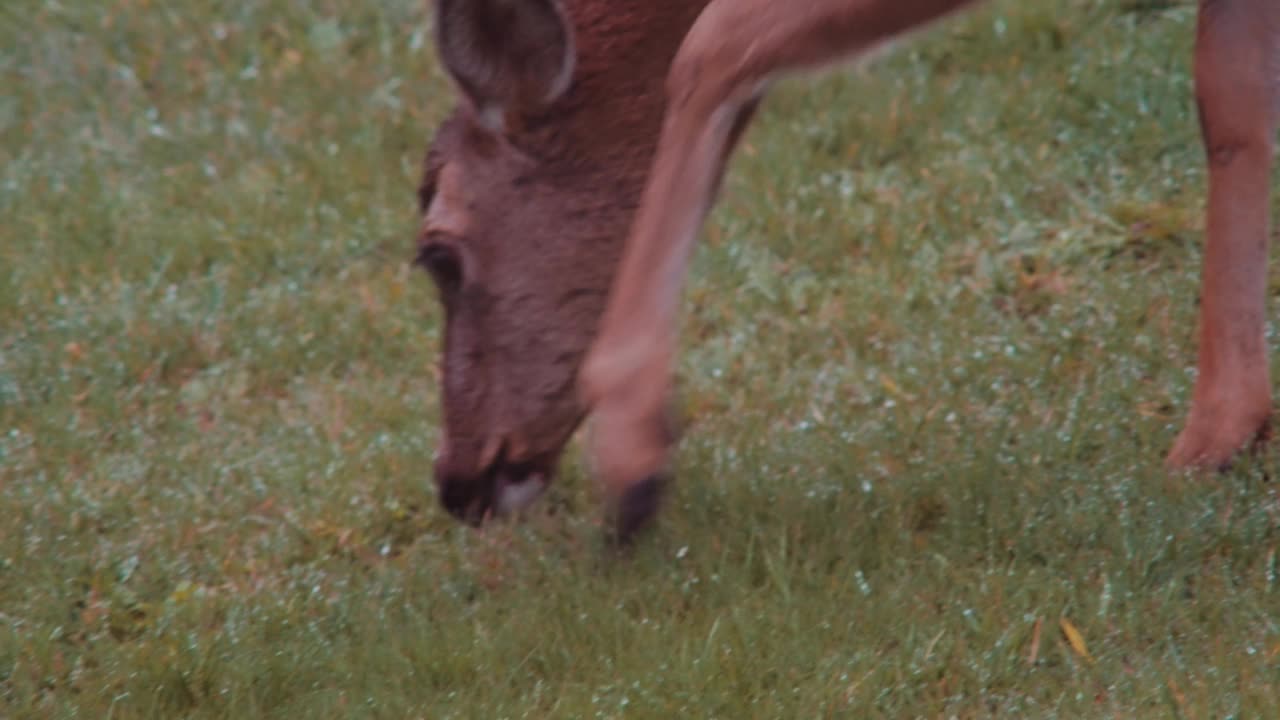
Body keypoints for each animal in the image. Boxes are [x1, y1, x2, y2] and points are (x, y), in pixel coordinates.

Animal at [422, 0, 1280, 538]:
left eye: (438, 255)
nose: (457, 482)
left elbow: (708, 47)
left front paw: (636, 453)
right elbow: (1230, 92)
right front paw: (1220, 433)